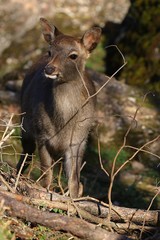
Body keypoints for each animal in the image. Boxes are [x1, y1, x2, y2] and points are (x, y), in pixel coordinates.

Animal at [16, 17, 101, 198]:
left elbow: (74, 181)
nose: (49, 68)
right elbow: (46, 175)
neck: (62, 125)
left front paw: (73, 201)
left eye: (73, 55)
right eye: (50, 51)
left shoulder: (78, 141)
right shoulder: (42, 136)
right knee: (26, 155)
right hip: (25, 124)